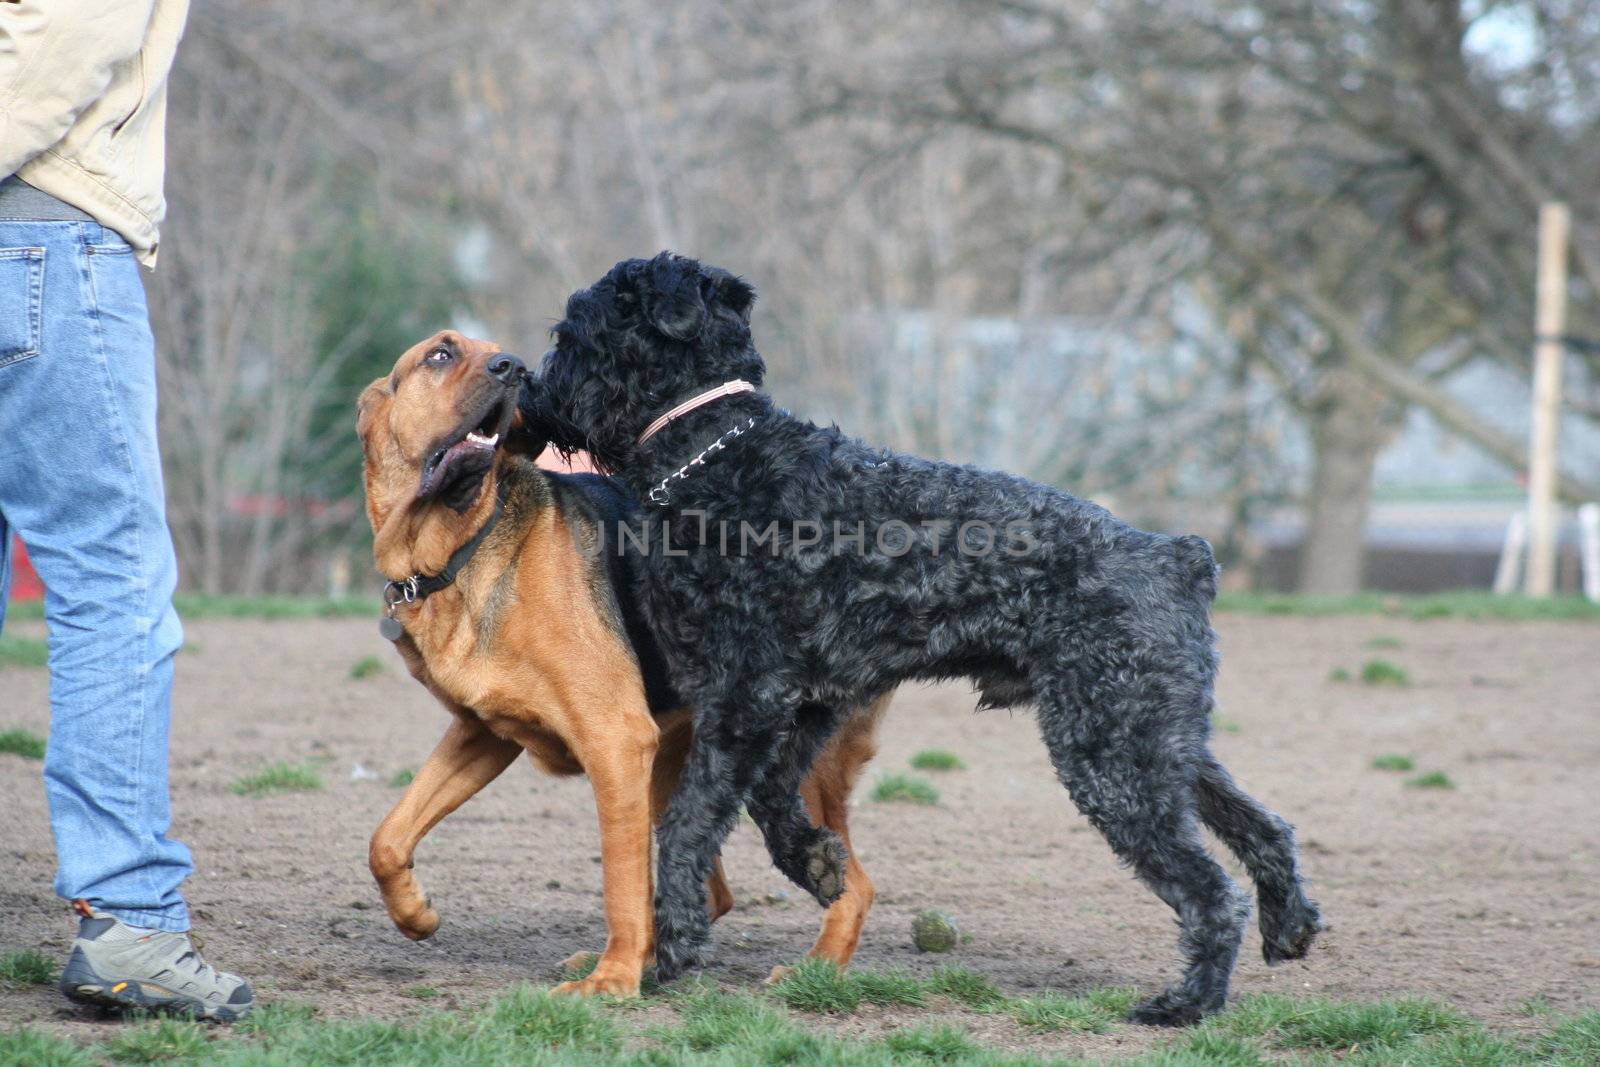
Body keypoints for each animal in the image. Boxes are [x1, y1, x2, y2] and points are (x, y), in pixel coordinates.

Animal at [518, 251, 1318, 1023]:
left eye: (573, 330)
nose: (530, 389)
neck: (717, 458)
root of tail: (1177, 554)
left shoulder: (745, 697)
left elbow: (687, 822)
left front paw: (671, 946)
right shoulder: (804, 704)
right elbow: (772, 802)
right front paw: (819, 863)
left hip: (1111, 753)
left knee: (1210, 889)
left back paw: (1188, 1002)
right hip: (1158, 741)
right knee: (1264, 827)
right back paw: (1291, 927)